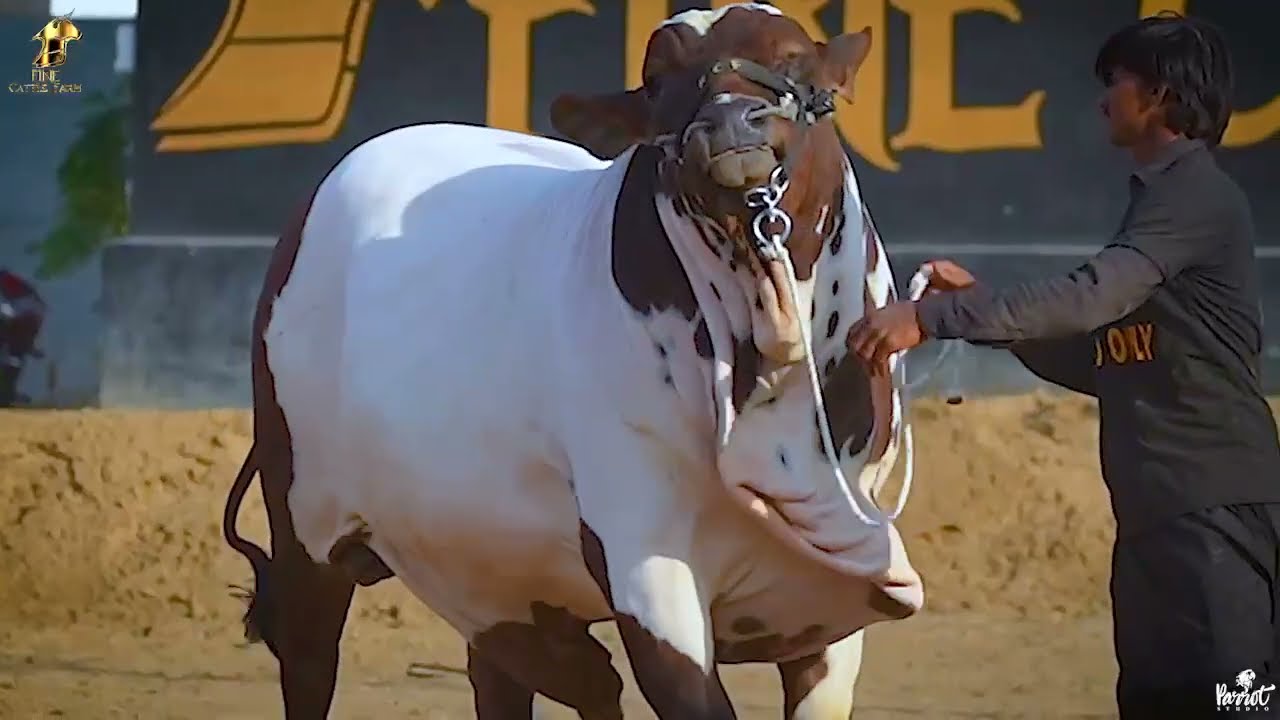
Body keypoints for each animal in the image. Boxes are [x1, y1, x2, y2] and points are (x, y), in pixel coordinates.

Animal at [222, 4, 926, 718]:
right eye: (658, 79)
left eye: (793, 58)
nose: (731, 121)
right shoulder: (647, 563)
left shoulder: (840, 579)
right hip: (302, 516)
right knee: (311, 658)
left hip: (493, 573)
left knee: (535, 678)